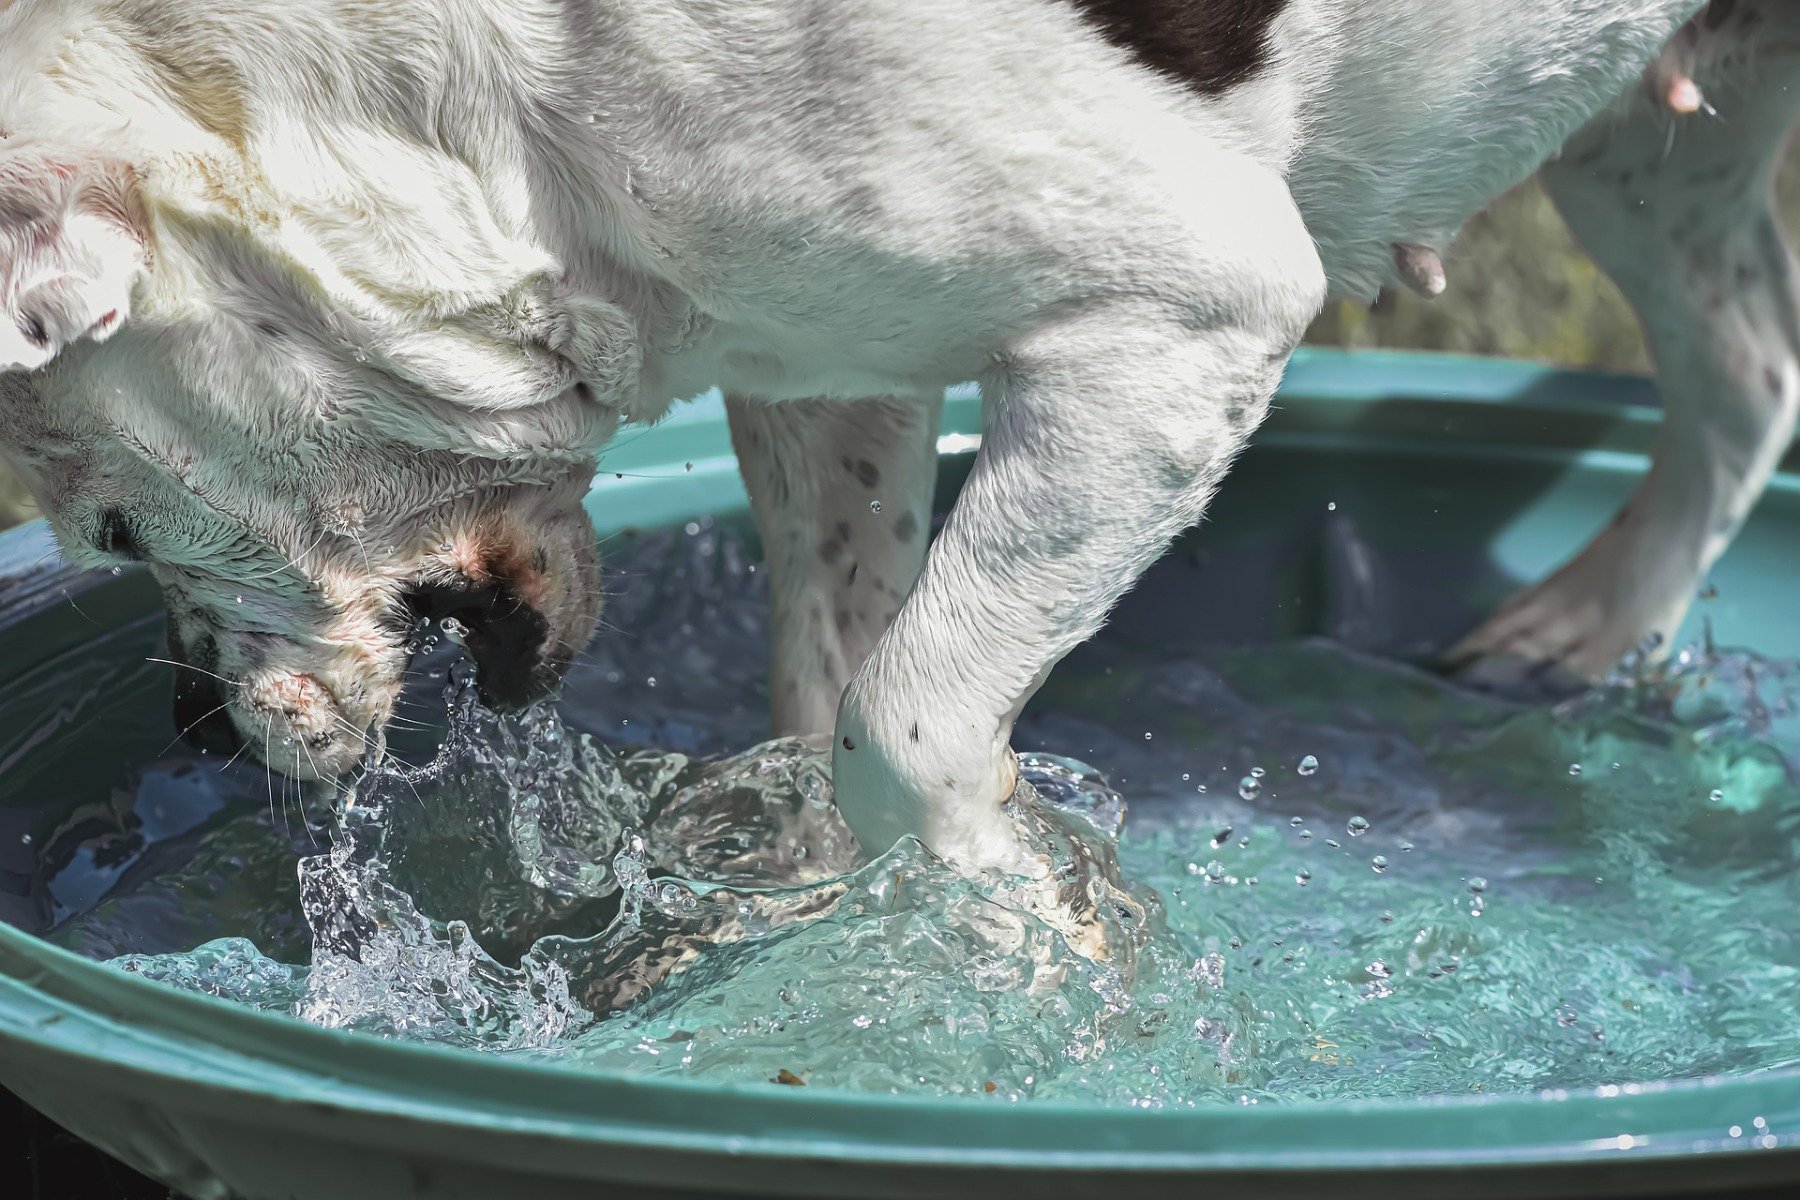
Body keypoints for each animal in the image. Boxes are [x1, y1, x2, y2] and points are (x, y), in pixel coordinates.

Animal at [3, 2, 1800, 874]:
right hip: (1643, 152)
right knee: (1746, 372)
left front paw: (1025, 925)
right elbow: (831, 666)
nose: (198, 730)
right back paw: (1582, 630)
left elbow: (907, 712)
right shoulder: (825, 361)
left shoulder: (1180, 328)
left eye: (107, 527)